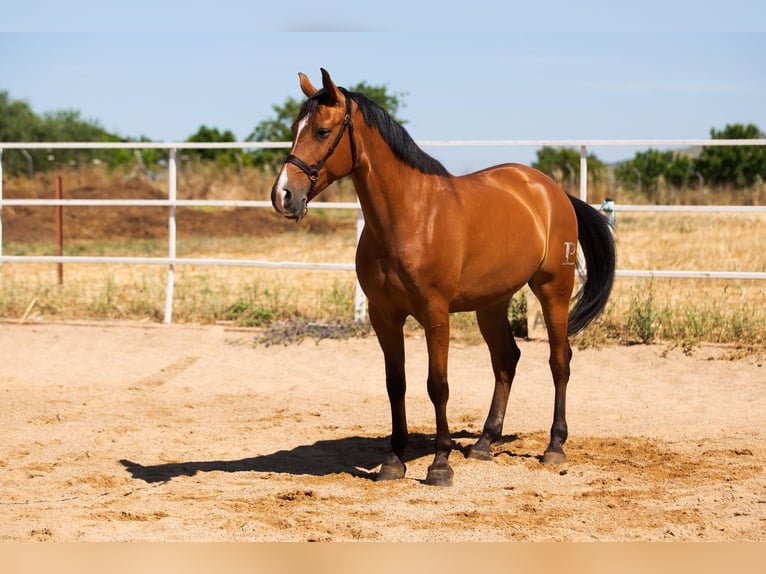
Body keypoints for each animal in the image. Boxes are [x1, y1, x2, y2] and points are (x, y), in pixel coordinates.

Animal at [272, 70, 616, 488]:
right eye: (294, 129)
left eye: (323, 131)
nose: (283, 195)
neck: (410, 216)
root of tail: (552, 192)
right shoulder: (384, 315)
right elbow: (396, 384)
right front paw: (394, 460)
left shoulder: (435, 315)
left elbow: (437, 385)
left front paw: (440, 464)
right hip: (492, 303)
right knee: (506, 359)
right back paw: (485, 442)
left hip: (554, 289)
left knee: (559, 359)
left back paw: (554, 446)